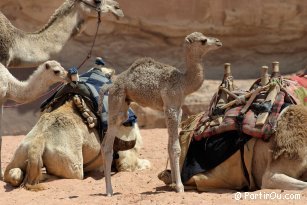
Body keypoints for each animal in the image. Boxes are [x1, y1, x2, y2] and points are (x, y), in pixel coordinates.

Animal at [3, 66, 150, 190]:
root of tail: (40, 140)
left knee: (12, 173)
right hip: (72, 166)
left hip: (22, 150)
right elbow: (136, 164)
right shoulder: (126, 155)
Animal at [101, 31, 224, 195]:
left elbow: (169, 145)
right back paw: (109, 191)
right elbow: (175, 147)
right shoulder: (171, 105)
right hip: (117, 96)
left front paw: (172, 182)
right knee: (108, 143)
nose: (218, 42)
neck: (183, 82)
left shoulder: (176, 108)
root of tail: (110, 85)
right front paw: (180, 187)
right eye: (203, 41)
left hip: (124, 102)